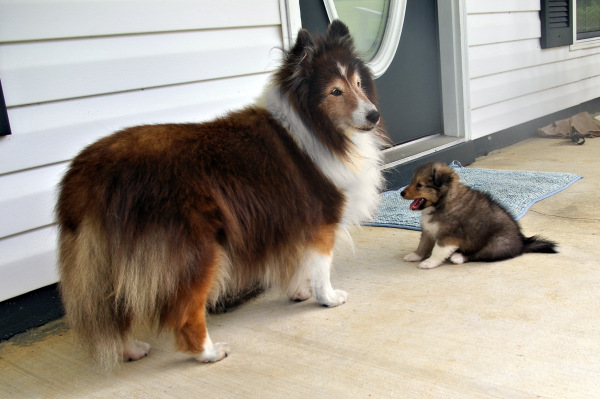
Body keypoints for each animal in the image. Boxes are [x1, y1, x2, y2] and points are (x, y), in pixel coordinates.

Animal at [55, 20, 390, 370]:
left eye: (358, 83)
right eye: (334, 91)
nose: (373, 115)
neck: (314, 126)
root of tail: (86, 173)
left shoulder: (290, 222)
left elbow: (299, 261)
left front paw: (300, 292)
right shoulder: (321, 219)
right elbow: (321, 265)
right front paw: (328, 298)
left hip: (109, 262)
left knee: (116, 310)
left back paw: (131, 349)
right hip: (197, 251)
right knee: (184, 314)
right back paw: (209, 352)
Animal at [398, 161, 556, 270]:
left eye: (419, 185)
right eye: (412, 181)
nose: (401, 193)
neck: (442, 202)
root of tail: (523, 243)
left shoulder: (448, 236)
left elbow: (437, 251)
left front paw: (428, 263)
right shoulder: (428, 231)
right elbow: (423, 245)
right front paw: (415, 255)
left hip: (496, 244)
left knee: (478, 255)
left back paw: (458, 257)